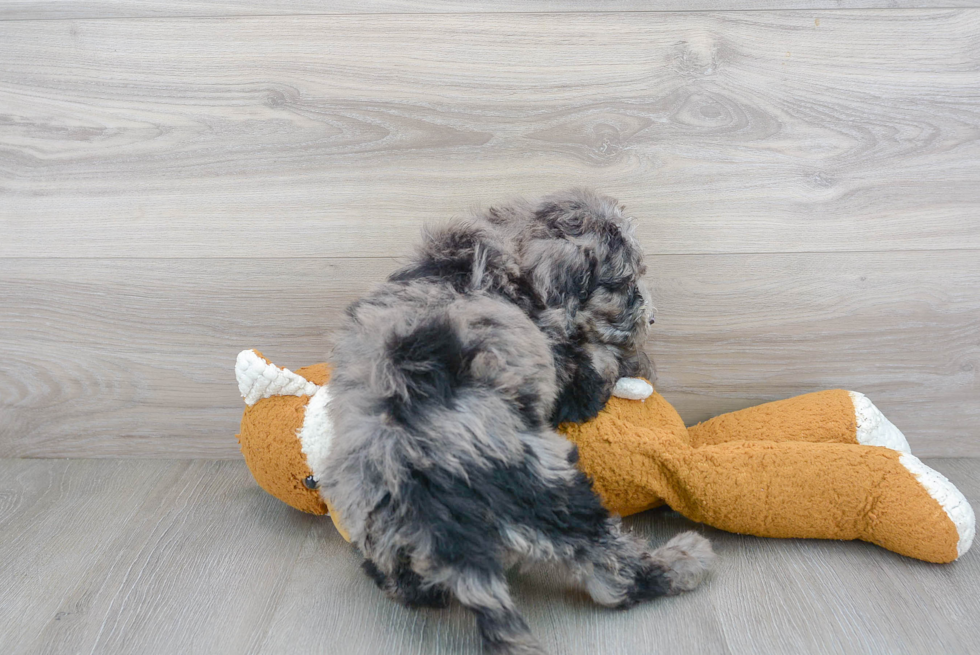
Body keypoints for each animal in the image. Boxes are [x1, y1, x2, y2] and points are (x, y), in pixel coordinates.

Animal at [322, 190, 712, 655]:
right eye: (624, 284)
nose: (651, 320)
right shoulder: (560, 368)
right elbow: (593, 362)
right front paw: (627, 360)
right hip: (551, 492)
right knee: (614, 575)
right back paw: (685, 558)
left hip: (379, 525)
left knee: (400, 583)